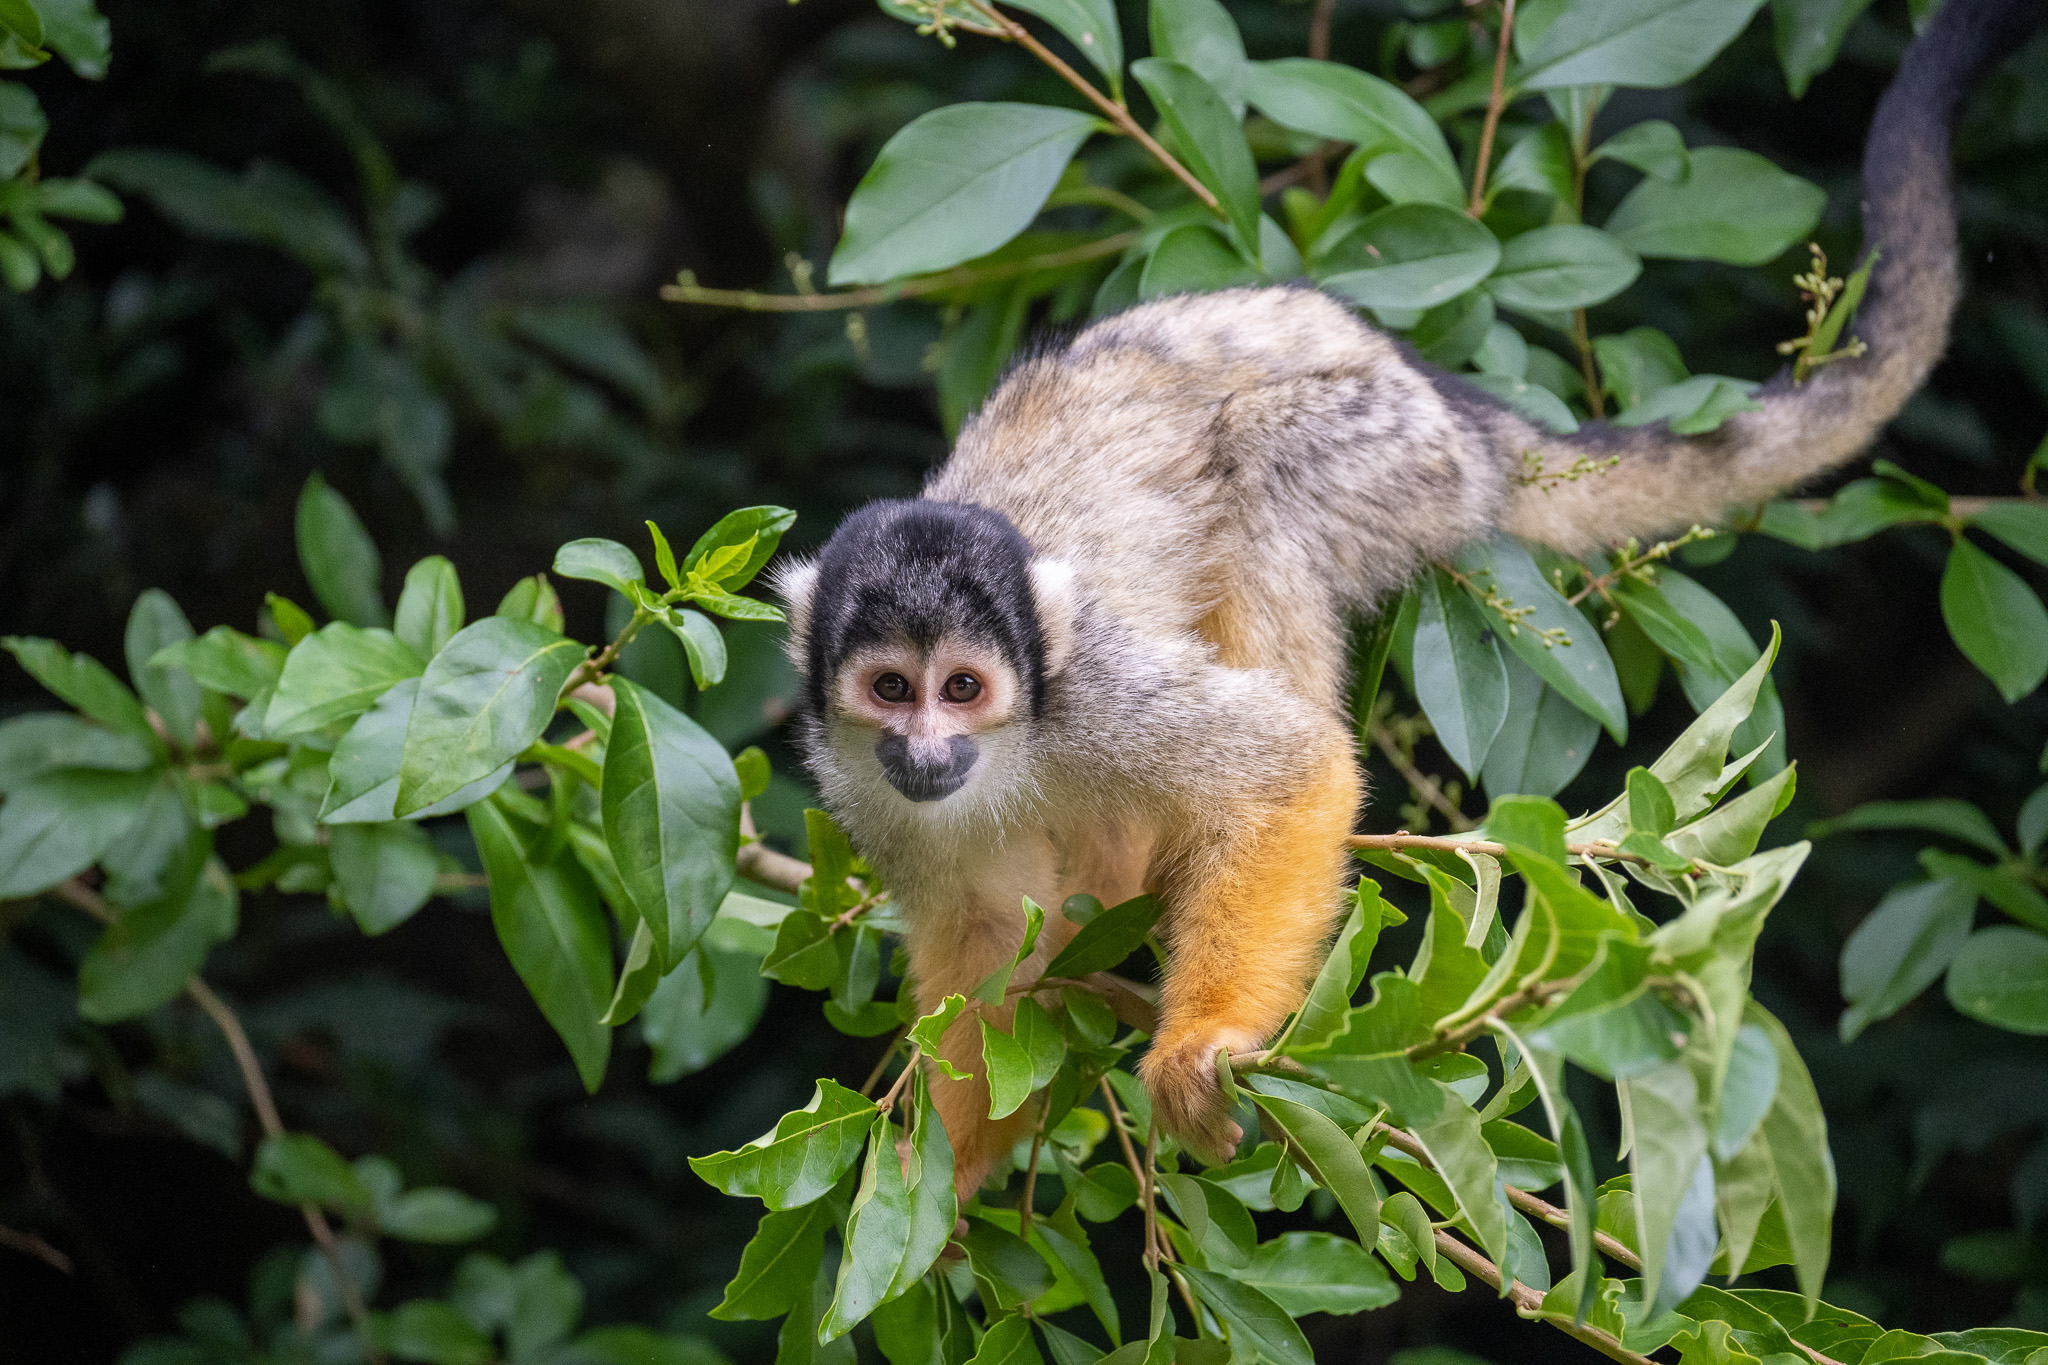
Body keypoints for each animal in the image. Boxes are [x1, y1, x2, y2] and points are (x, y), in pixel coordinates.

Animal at [774, 0, 2047, 1197]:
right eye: (890, 691)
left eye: (963, 688)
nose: (926, 748)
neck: (1010, 752)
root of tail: (1444, 400)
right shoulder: (855, 781)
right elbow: (988, 950)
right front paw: (926, 1201)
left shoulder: (1094, 692)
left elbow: (1289, 770)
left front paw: (1199, 1041)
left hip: (1393, 457)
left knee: (1266, 468)